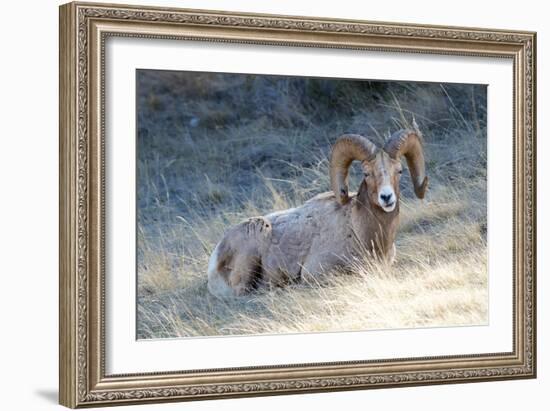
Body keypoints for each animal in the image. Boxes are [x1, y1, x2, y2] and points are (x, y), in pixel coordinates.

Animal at [209, 124, 430, 298]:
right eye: (367, 173)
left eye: (399, 171)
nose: (386, 197)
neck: (360, 232)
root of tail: (216, 255)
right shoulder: (316, 272)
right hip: (255, 240)